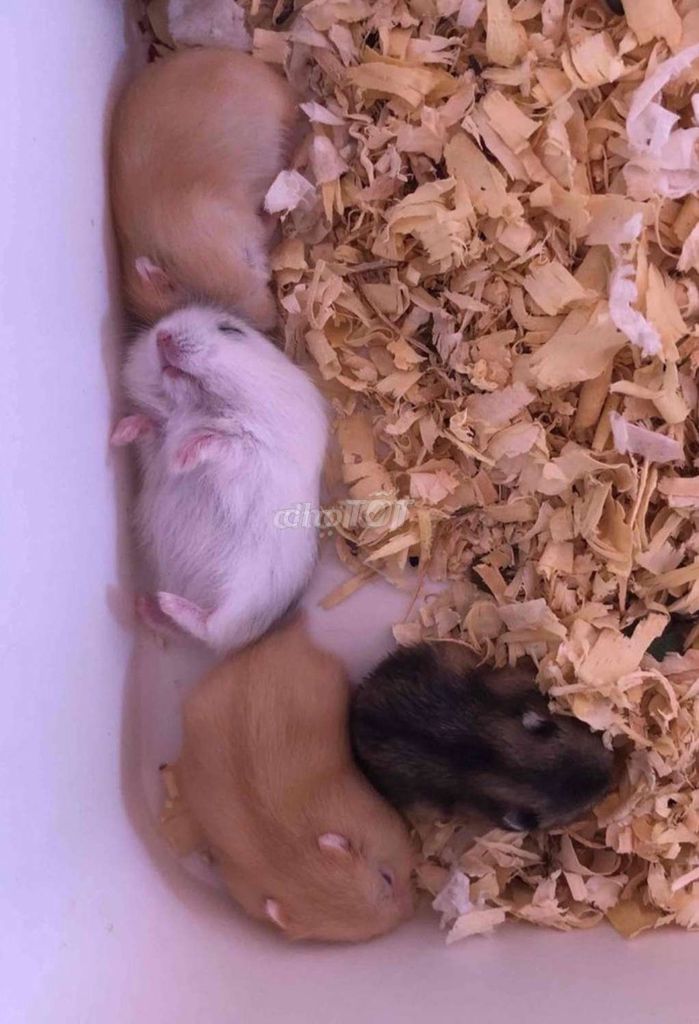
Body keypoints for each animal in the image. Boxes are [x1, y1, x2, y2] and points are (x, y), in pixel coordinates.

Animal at [111, 303, 327, 652]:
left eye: (230, 330)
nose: (162, 335)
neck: (194, 407)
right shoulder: (156, 450)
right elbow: (151, 431)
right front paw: (120, 432)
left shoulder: (255, 454)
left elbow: (221, 442)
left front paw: (184, 456)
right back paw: (147, 606)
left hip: (244, 592)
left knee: (211, 629)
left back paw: (169, 603)